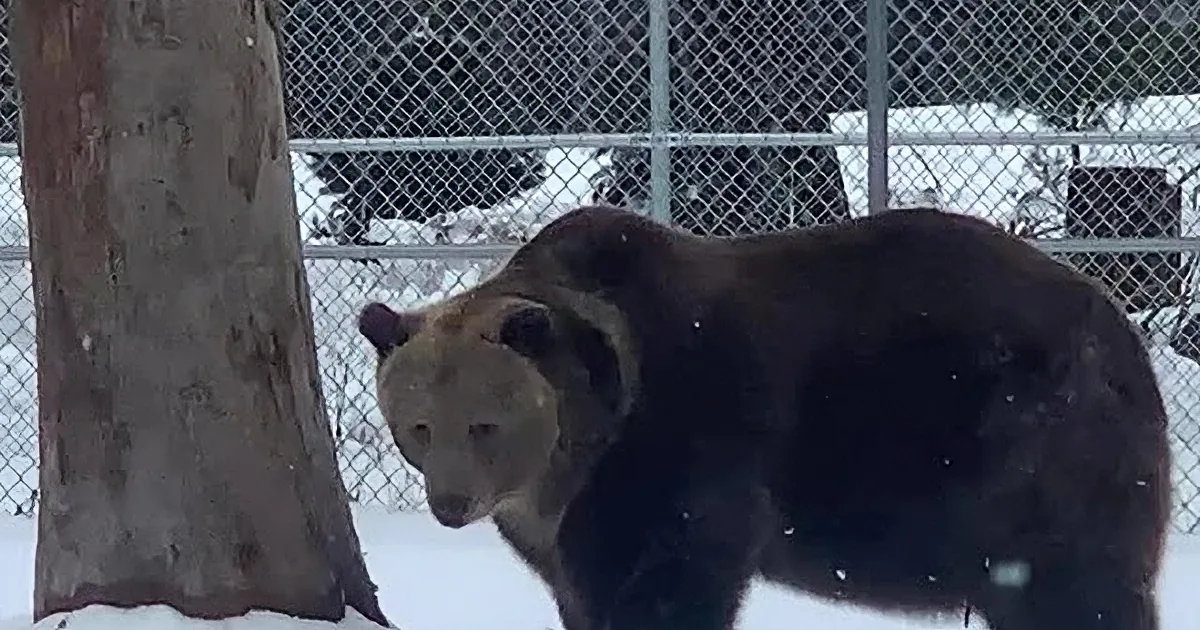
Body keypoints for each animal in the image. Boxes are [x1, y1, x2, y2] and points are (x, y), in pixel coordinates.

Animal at [357, 204, 1171, 630]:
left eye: (483, 424)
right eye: (419, 425)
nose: (451, 504)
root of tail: (1118, 327)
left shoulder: (683, 441)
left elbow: (673, 573)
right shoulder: (556, 528)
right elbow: (580, 592)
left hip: (1022, 446)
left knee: (1080, 587)